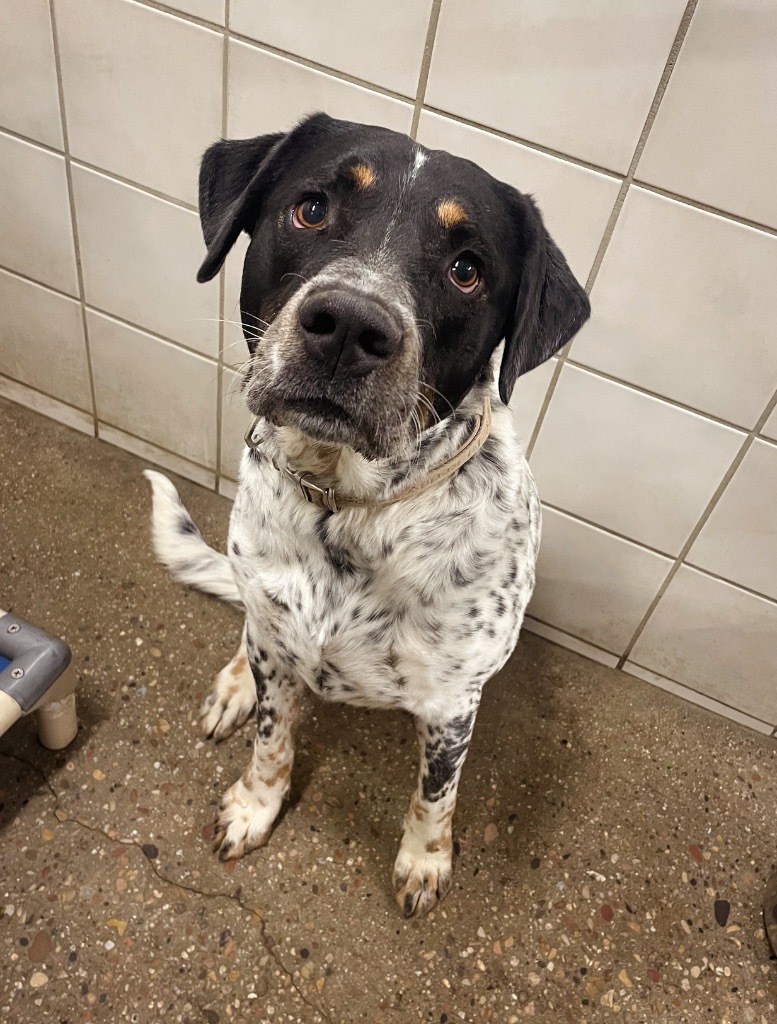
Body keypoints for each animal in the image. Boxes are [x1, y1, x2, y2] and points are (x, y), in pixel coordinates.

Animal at [144, 114, 589, 921]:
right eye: (311, 208)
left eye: (467, 269)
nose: (350, 325)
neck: (346, 509)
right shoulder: (278, 646)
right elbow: (272, 741)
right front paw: (255, 805)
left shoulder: (451, 706)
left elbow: (436, 796)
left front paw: (425, 860)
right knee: (248, 631)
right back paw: (234, 684)